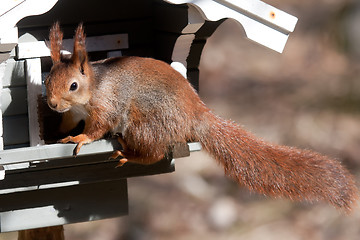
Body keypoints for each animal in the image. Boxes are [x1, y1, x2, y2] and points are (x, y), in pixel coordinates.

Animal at [46, 21, 358, 211]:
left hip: (144, 124)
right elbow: (68, 122)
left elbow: (98, 127)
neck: (92, 88)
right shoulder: (72, 114)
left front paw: (81, 138)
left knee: (155, 153)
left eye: (73, 85)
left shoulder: (107, 106)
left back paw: (130, 155)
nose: (51, 103)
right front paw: (56, 133)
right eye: (47, 78)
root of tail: (197, 115)